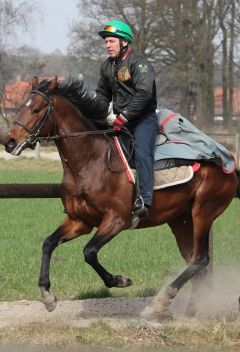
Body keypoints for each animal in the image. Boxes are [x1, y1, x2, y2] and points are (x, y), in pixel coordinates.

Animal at [4, 77, 240, 320]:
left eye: (36, 109)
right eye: (20, 106)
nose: (10, 142)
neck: (91, 160)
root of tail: (227, 162)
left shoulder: (116, 220)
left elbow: (89, 252)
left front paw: (119, 280)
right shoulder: (80, 221)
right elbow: (48, 243)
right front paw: (47, 295)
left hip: (203, 212)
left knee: (201, 259)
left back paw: (161, 301)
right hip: (181, 220)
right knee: (195, 261)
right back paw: (190, 310)